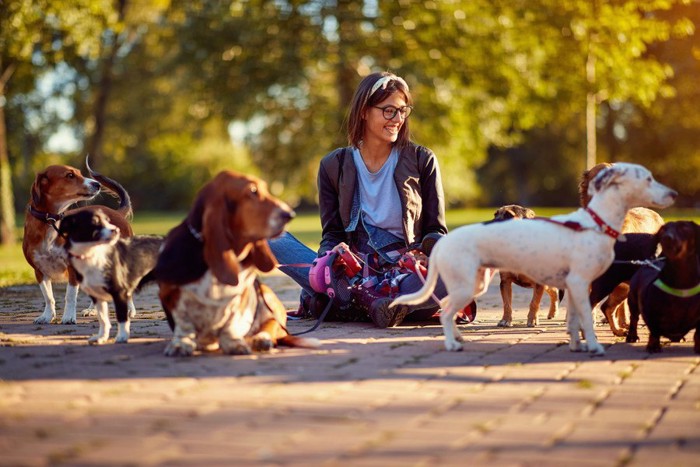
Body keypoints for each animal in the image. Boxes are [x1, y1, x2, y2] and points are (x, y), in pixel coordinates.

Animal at [392, 164, 676, 354]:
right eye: (648, 179)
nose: (674, 194)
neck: (594, 221)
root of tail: (443, 243)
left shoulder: (575, 287)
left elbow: (573, 318)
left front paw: (577, 345)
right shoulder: (581, 284)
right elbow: (586, 318)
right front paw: (594, 345)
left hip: (475, 284)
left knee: (449, 309)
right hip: (465, 285)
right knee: (446, 312)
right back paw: (452, 343)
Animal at [628, 221, 700, 352]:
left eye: (684, 227)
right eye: (663, 229)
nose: (666, 237)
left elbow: (698, 333)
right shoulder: (652, 315)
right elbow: (654, 331)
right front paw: (653, 346)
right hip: (632, 300)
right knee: (634, 318)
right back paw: (632, 336)